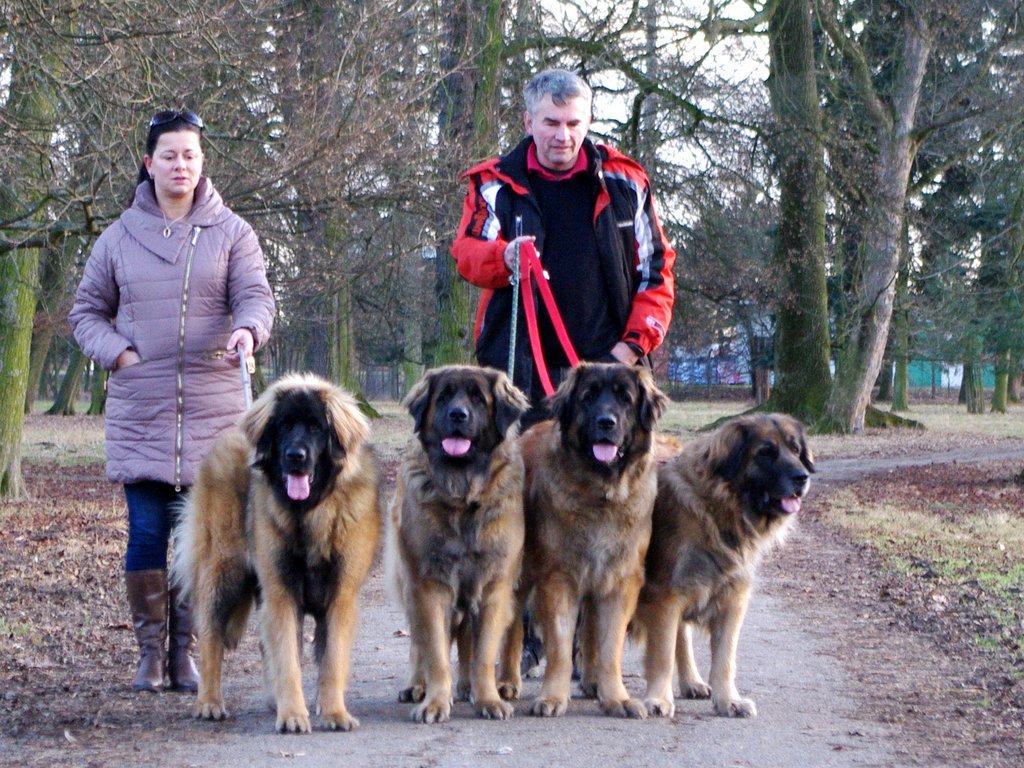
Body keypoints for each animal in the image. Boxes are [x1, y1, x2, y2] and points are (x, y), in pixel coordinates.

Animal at [171, 373, 381, 733]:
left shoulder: (340, 595)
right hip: (224, 572)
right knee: (212, 637)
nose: (295, 455)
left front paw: (333, 712)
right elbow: (287, 659)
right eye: (284, 426)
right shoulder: (281, 592)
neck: (309, 513)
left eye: (315, 427)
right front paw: (294, 715)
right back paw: (209, 702)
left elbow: (332, 658)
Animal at [386, 365, 530, 723]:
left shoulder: (493, 587)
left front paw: (488, 699)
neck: (464, 497)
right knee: (419, 644)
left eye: (478, 398)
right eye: (444, 396)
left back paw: (470, 686)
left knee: (469, 641)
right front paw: (435, 702)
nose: (457, 415)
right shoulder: (429, 586)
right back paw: (417, 686)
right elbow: (435, 652)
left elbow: (483, 653)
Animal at [497, 362, 668, 719]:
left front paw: (616, 697)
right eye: (588, 397)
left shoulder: (620, 581)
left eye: (625, 399)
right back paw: (507, 680)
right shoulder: (558, 578)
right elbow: (560, 646)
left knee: (589, 628)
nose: (606, 422)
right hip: (523, 572)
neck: (600, 494)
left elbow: (609, 645)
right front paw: (552, 697)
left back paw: (591, 681)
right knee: (514, 626)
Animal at [634, 413, 814, 719]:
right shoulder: (665, 595)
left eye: (796, 450)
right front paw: (658, 699)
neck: (719, 508)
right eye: (765, 452)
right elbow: (662, 654)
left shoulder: (732, 597)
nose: (802, 477)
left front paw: (729, 700)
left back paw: (692, 682)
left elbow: (724, 658)